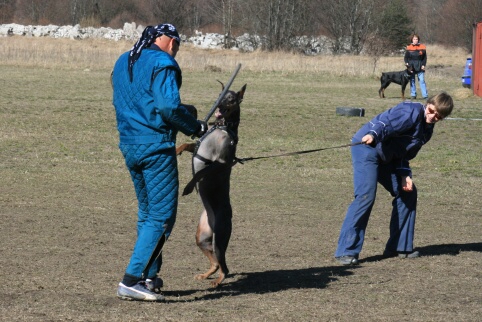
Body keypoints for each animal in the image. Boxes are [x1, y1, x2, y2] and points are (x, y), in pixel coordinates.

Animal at [175, 82, 247, 286]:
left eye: (231, 99)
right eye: (221, 95)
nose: (219, 105)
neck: (222, 128)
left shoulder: (221, 162)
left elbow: (200, 172)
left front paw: (189, 186)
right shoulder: (199, 145)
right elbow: (185, 144)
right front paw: (175, 150)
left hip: (220, 238)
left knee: (225, 268)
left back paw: (217, 281)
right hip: (202, 237)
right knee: (215, 263)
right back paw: (206, 275)